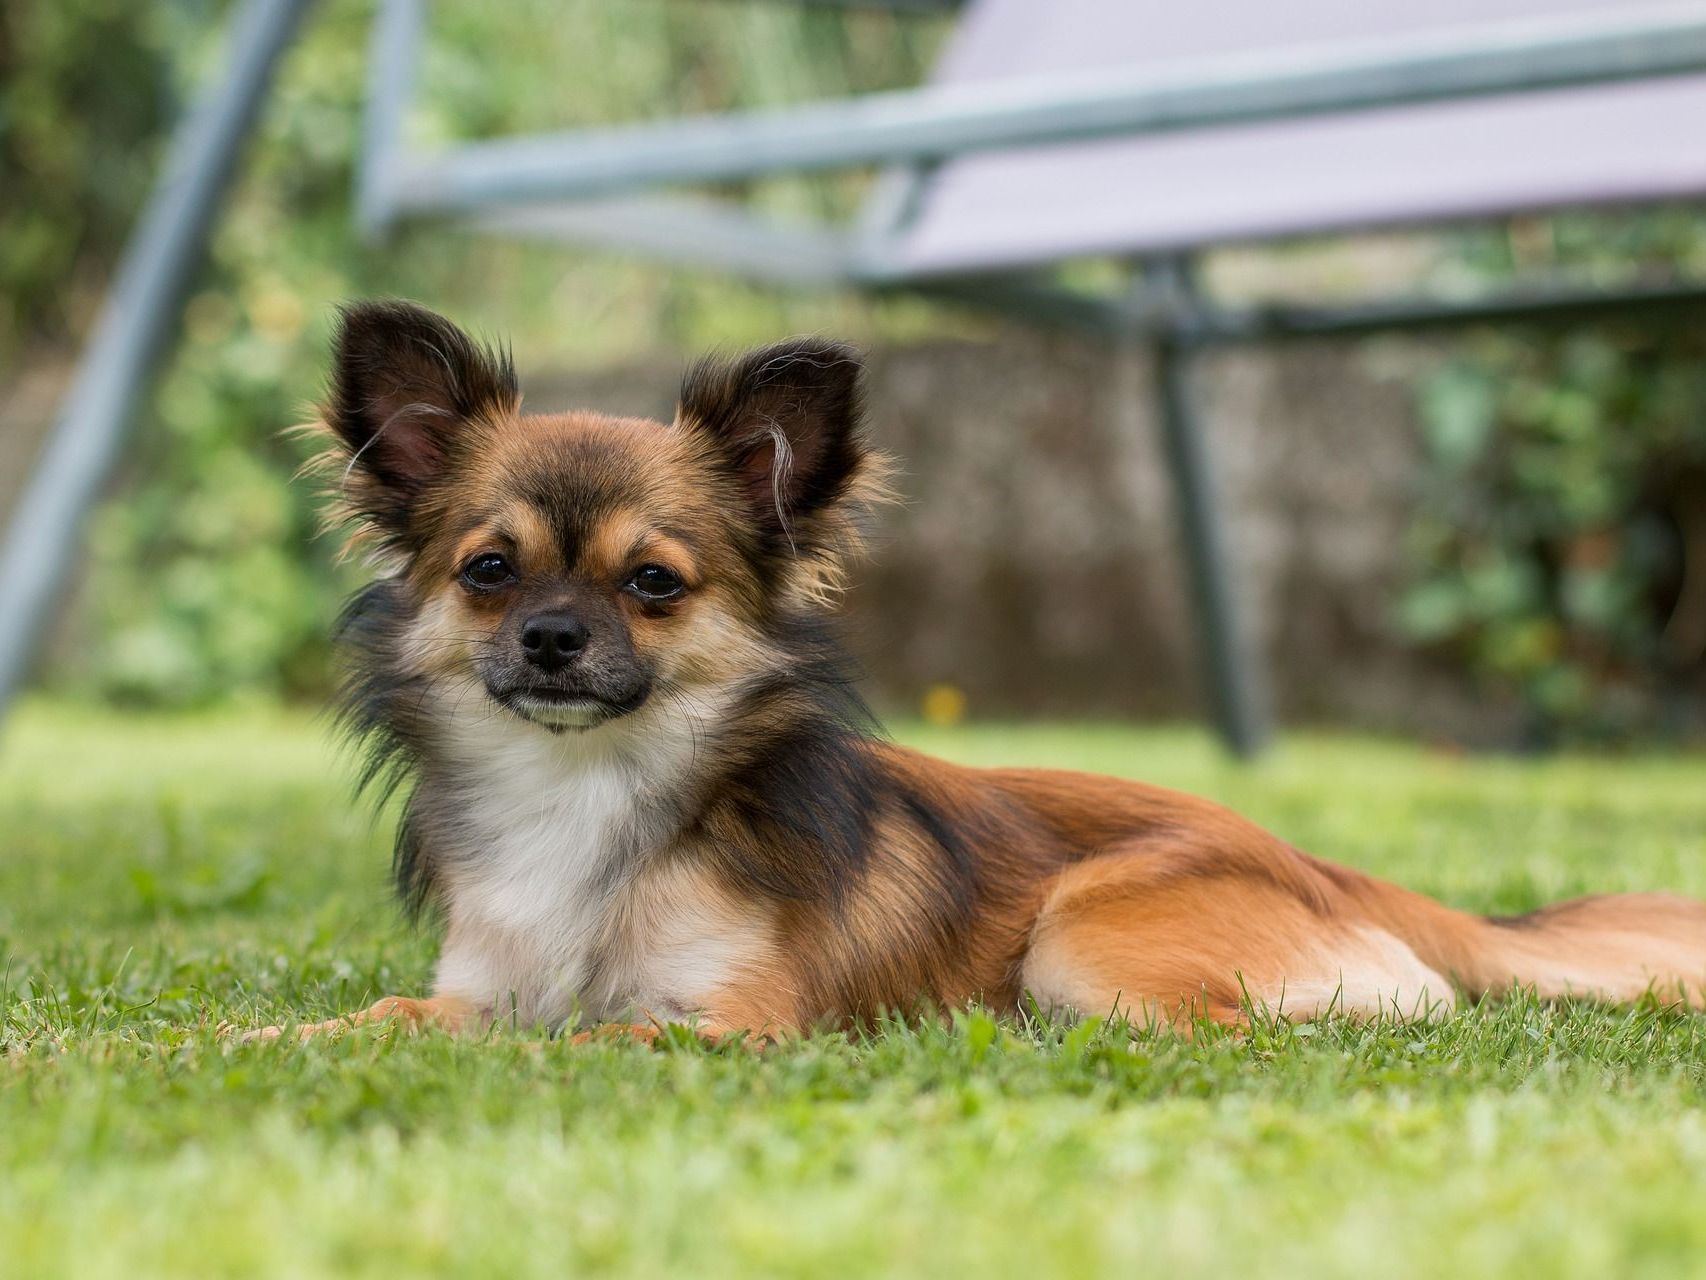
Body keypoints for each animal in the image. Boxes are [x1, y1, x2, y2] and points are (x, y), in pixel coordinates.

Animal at [237, 300, 1692, 1044]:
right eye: (488, 570)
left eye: (652, 584)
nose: (548, 638)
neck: (587, 795)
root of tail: (1312, 862)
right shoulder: (472, 992)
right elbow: (372, 1019)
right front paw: (212, 1047)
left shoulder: (730, 1025)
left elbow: (593, 1036)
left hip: (1082, 939)